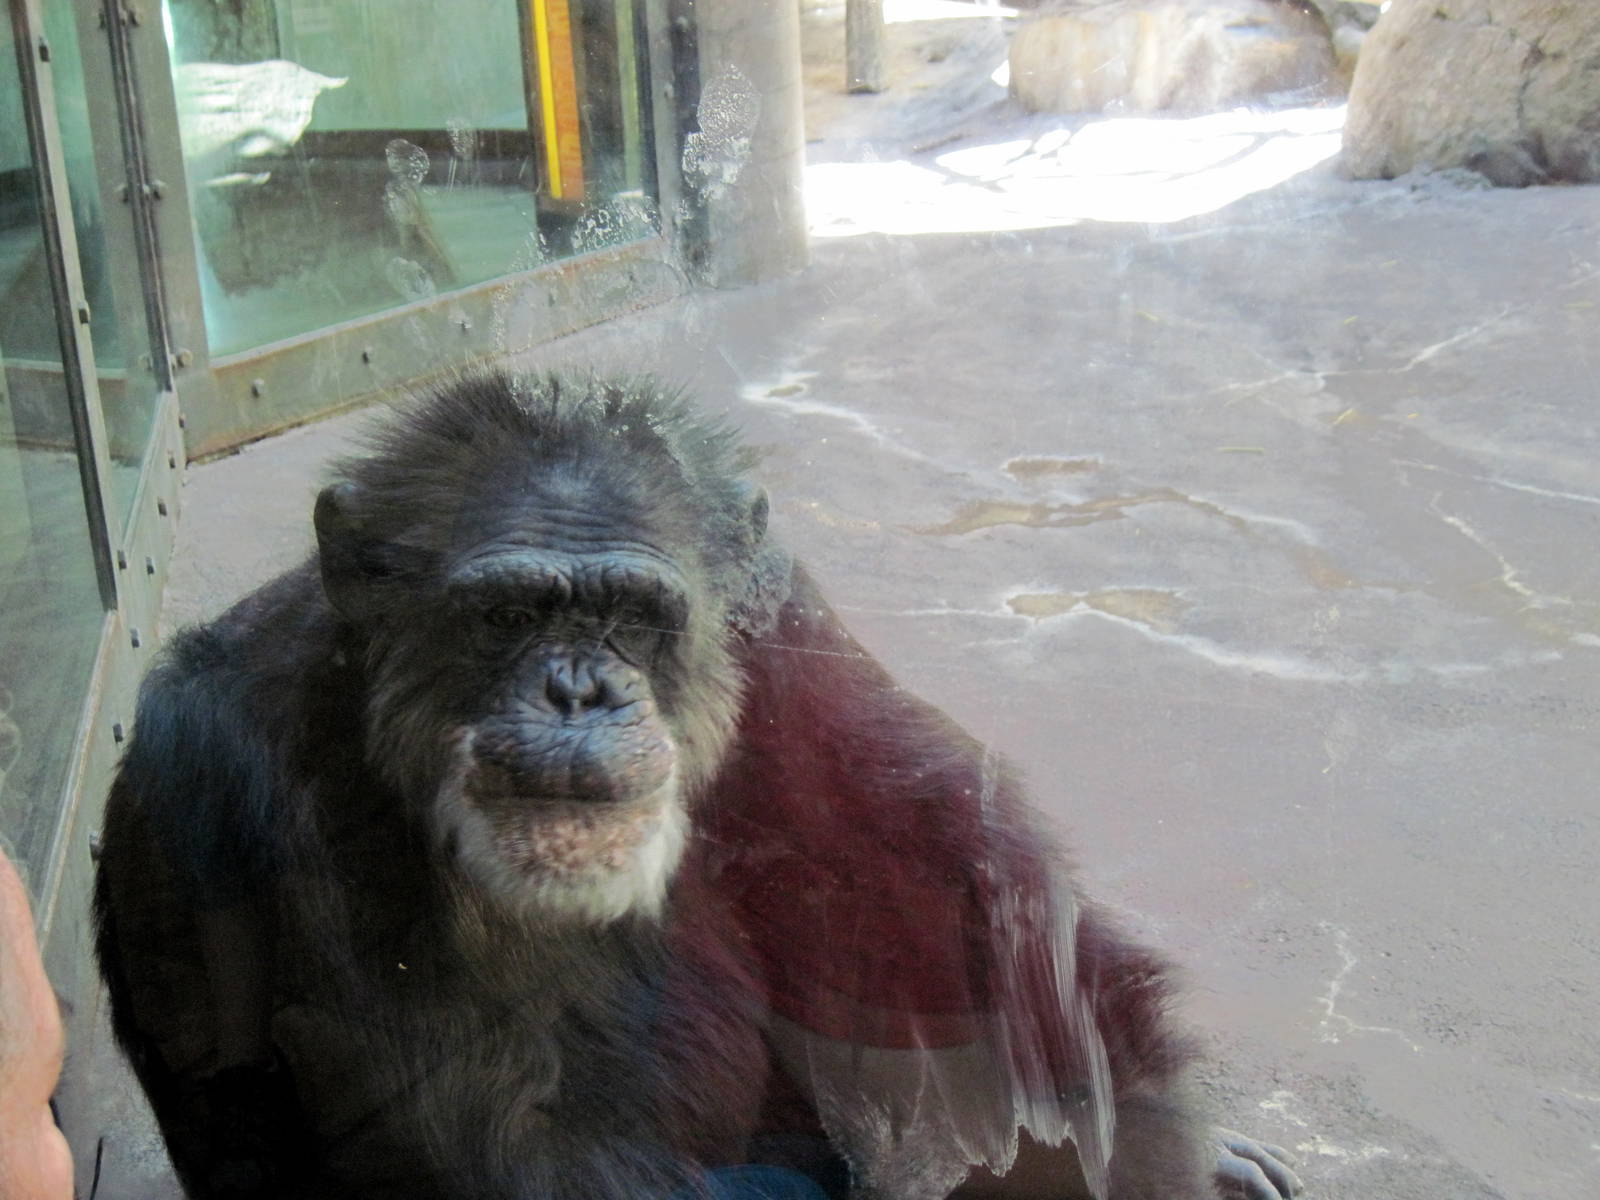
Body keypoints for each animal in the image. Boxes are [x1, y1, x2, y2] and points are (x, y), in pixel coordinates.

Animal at [96, 372, 1303, 1200]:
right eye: (504, 615)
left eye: (633, 615)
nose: (578, 691)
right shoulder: (229, 762)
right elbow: (516, 1135)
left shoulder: (783, 619)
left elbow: (949, 884)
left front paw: (1137, 1143)